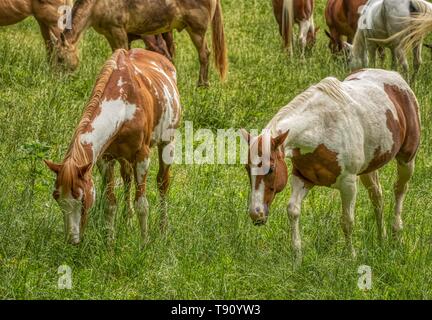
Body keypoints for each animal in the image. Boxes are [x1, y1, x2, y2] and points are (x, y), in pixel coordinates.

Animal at [46, 48, 182, 245]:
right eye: (56, 197)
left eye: (82, 197)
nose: (72, 239)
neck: (124, 106)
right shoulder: (105, 159)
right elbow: (110, 203)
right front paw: (109, 243)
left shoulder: (142, 157)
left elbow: (142, 204)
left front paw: (144, 243)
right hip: (124, 158)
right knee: (127, 178)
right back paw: (127, 221)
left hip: (167, 142)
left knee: (162, 183)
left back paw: (163, 230)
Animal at [52, 0, 228, 87]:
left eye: (60, 59)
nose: (57, 83)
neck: (95, 5)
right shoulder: (109, 34)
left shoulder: (118, 31)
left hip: (197, 31)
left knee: (204, 54)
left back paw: (202, 84)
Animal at [241, 69, 420, 264]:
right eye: (247, 169)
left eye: (271, 169)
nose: (256, 214)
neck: (320, 129)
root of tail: (397, 77)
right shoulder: (302, 178)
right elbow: (293, 210)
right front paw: (297, 256)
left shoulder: (348, 184)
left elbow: (347, 221)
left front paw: (351, 257)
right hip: (369, 169)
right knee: (377, 198)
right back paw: (382, 240)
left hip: (406, 160)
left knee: (399, 190)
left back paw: (396, 235)